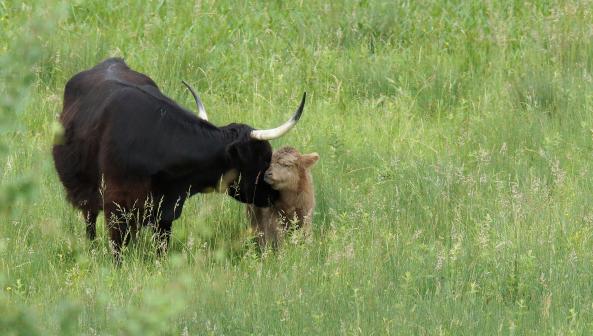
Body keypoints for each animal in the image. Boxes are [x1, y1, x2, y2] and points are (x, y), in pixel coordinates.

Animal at [51, 57, 306, 258]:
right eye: (264, 158)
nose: (274, 195)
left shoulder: (165, 213)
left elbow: (161, 249)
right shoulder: (116, 208)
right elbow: (117, 250)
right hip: (85, 193)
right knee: (90, 221)